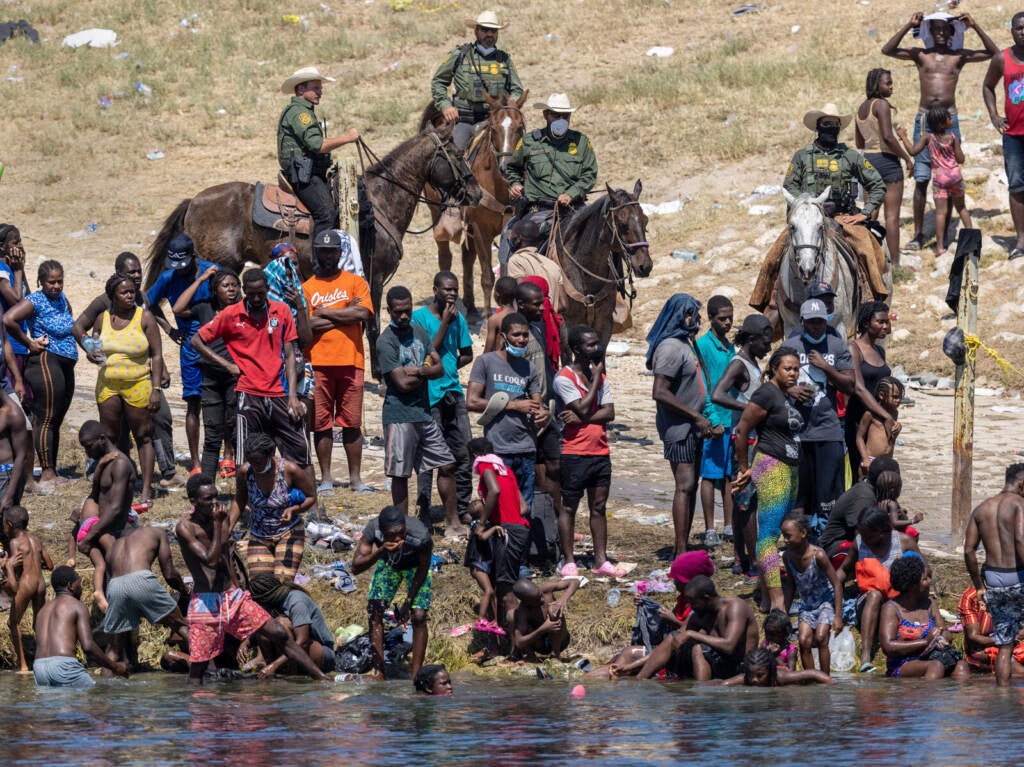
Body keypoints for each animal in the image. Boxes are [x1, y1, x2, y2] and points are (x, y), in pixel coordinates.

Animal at [141, 121, 483, 378]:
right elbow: (372, 325)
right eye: (456, 154)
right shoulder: (373, 277)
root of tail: (194, 201)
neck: (379, 201)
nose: (476, 192)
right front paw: (379, 374)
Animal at [419, 92, 528, 317]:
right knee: (446, 256)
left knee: (466, 255)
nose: (507, 167)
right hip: (437, 213)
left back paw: (469, 304)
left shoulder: (507, 227)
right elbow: (487, 276)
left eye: (520, 127)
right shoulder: (480, 228)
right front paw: (487, 319)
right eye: (493, 128)